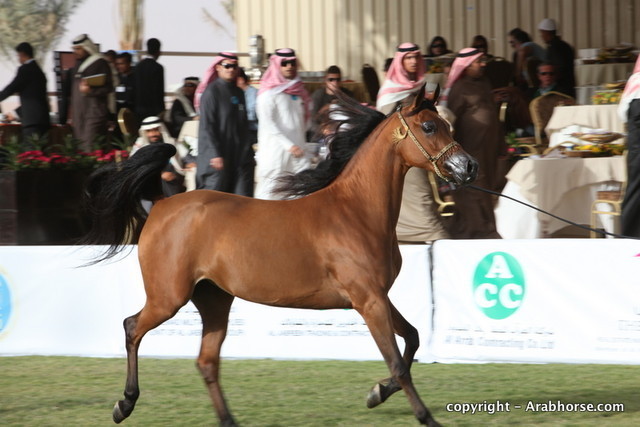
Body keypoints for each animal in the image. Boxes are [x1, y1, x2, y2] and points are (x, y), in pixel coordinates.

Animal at [83, 84, 478, 426]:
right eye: (429, 126)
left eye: (446, 124)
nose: (468, 166)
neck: (355, 211)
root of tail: (162, 204)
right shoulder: (369, 301)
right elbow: (398, 363)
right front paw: (424, 416)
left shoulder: (376, 297)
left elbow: (413, 338)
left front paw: (376, 393)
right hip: (168, 297)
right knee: (132, 327)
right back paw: (124, 403)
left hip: (213, 300)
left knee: (207, 362)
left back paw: (227, 421)